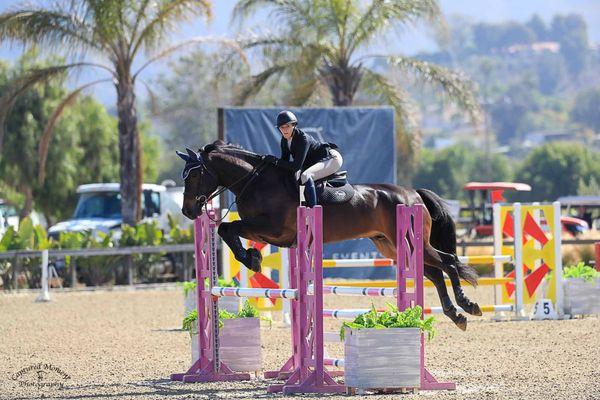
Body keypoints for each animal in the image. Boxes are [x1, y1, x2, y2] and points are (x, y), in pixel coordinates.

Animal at [178, 141, 482, 332]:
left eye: (193, 176)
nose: (187, 211)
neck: (255, 181)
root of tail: (413, 194)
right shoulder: (273, 234)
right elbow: (226, 229)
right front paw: (252, 256)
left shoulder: (274, 229)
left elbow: (229, 228)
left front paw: (251, 258)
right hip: (393, 247)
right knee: (434, 273)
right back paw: (456, 315)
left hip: (408, 243)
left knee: (449, 261)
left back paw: (468, 305)